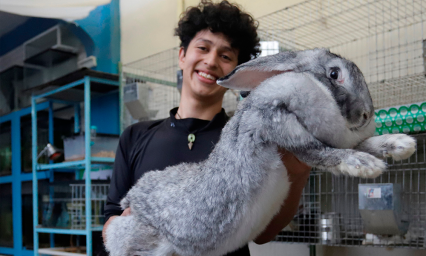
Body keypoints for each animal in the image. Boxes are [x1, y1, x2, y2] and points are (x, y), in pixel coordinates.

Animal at [105, 48, 416, 256]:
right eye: (334, 74)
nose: (365, 115)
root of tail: (130, 198)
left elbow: (360, 143)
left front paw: (400, 144)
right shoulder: (279, 127)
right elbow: (324, 153)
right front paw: (364, 164)